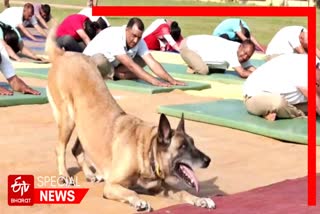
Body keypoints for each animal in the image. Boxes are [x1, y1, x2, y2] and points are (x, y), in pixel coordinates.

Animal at [45, 29, 215, 211]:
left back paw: (91, 174)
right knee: (60, 148)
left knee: (76, 149)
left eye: (193, 143)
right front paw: (139, 201)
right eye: (182, 146)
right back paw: (64, 174)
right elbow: (131, 192)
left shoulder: (161, 188)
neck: (146, 150)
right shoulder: (112, 186)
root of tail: (63, 54)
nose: (208, 160)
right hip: (68, 120)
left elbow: (183, 192)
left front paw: (200, 199)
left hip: (84, 126)